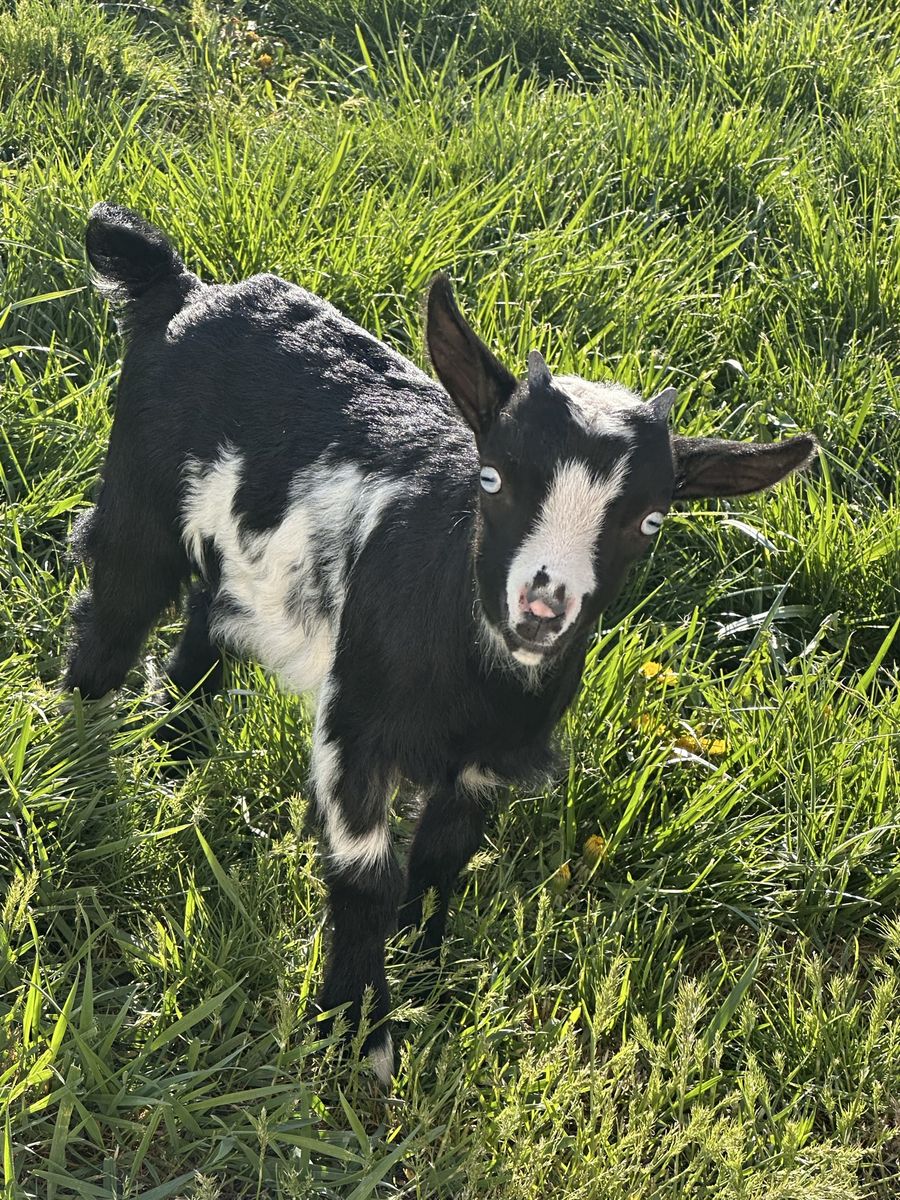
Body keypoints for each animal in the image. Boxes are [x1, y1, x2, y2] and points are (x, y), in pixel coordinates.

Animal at [66, 202, 817, 1084]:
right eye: (491, 478)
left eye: (651, 521)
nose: (541, 606)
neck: (475, 673)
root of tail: (183, 288)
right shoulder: (355, 730)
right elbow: (367, 877)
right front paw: (358, 1034)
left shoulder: (488, 759)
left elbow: (439, 862)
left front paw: (428, 972)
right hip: (137, 500)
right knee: (113, 614)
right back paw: (71, 755)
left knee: (202, 626)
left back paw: (178, 750)